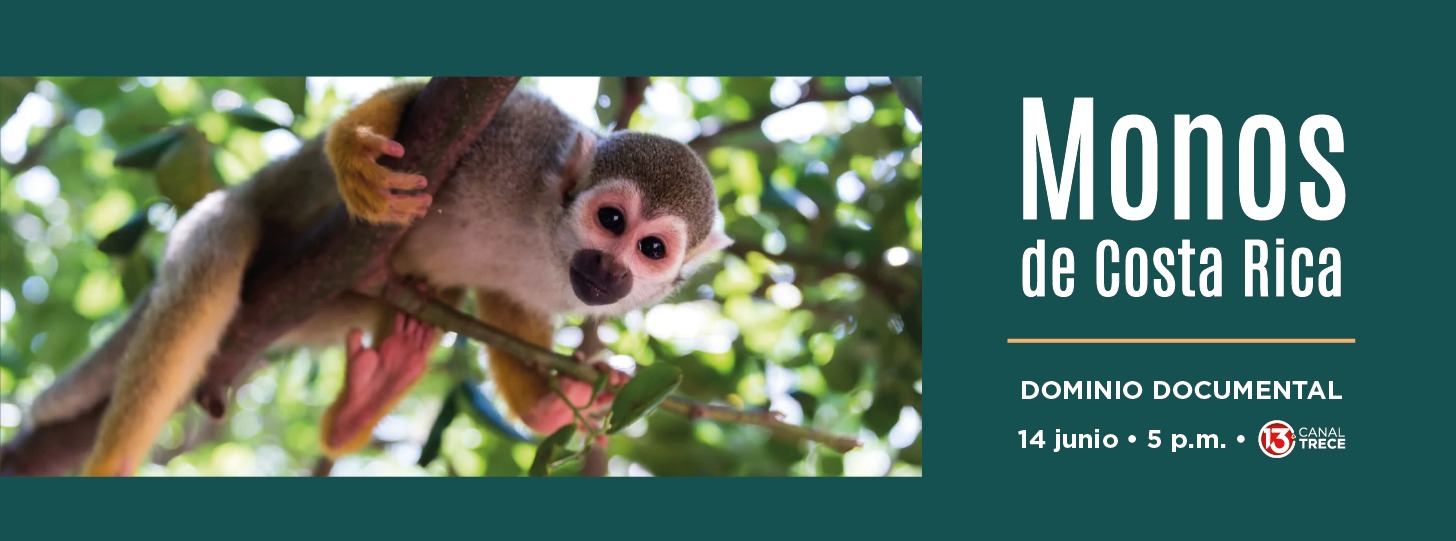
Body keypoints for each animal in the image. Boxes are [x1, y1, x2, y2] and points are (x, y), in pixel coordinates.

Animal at [21, 80, 731, 476]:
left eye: (651, 249)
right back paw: (111, 464)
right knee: (217, 247)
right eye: (610, 219)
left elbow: (504, 300)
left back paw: (362, 403)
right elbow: (430, 107)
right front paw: (355, 153)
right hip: (257, 215)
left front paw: (549, 405)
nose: (611, 270)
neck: (544, 234)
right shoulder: (520, 139)